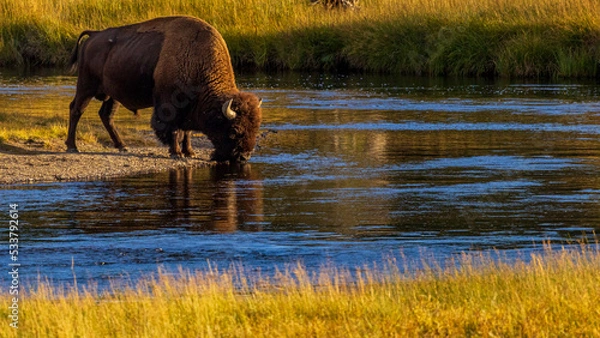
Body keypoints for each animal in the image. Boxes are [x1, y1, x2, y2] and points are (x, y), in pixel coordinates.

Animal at [66, 16, 262, 162]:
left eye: (256, 129)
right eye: (234, 130)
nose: (243, 157)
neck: (197, 60)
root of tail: (94, 35)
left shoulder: (189, 109)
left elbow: (187, 131)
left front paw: (190, 152)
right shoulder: (169, 105)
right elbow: (174, 129)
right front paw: (176, 153)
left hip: (112, 95)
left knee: (106, 115)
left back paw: (122, 146)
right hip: (86, 87)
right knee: (76, 110)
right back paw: (72, 147)